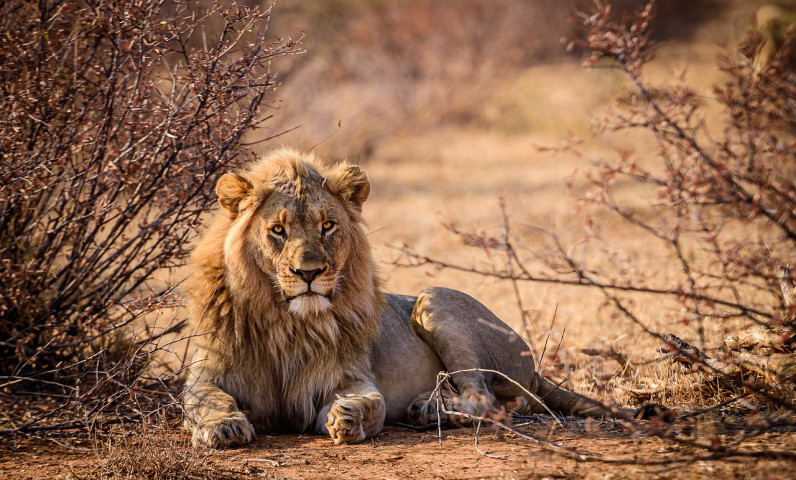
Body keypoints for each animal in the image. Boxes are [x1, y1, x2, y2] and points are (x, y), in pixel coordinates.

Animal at [185, 148, 640, 448]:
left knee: (486, 399)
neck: (286, 321)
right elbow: (206, 399)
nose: (309, 274)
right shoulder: (205, 371)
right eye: (277, 230)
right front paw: (224, 427)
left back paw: (430, 410)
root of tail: (534, 368)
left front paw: (348, 417)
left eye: (328, 225)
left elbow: (371, 403)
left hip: (433, 299)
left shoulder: (347, 377)